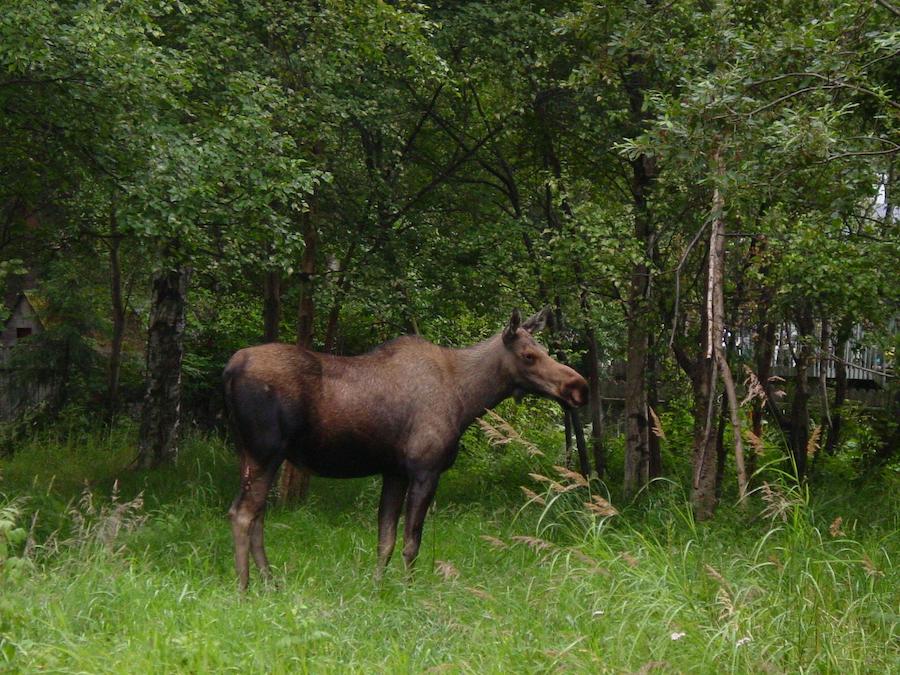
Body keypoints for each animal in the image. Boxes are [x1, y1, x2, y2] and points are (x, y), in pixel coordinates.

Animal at [223, 308, 592, 592]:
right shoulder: (425, 470)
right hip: (266, 452)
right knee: (242, 513)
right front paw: (408, 590)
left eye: (544, 349)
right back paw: (244, 588)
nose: (579, 387)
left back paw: (271, 584)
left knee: (256, 516)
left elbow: (384, 540)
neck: (468, 399)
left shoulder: (395, 472)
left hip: (250, 455)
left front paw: (377, 588)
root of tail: (228, 371)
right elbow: (411, 543)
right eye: (529, 355)